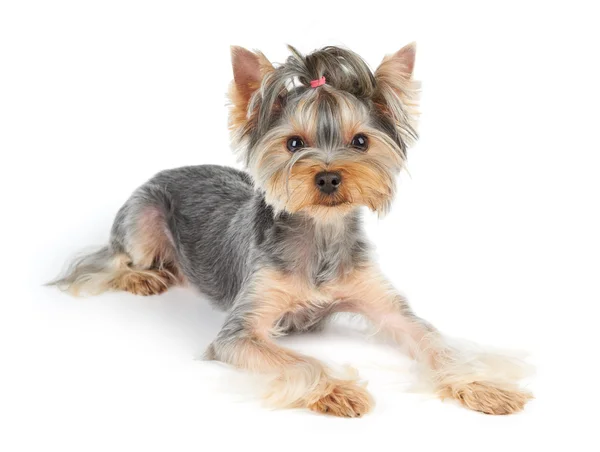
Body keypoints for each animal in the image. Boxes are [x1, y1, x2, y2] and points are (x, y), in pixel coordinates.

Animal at [49, 43, 532, 416]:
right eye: (293, 143)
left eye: (360, 141)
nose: (328, 177)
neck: (319, 235)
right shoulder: (240, 333)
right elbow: (299, 362)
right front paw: (337, 390)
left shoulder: (389, 308)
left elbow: (437, 343)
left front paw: (483, 386)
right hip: (143, 216)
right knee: (116, 259)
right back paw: (145, 277)